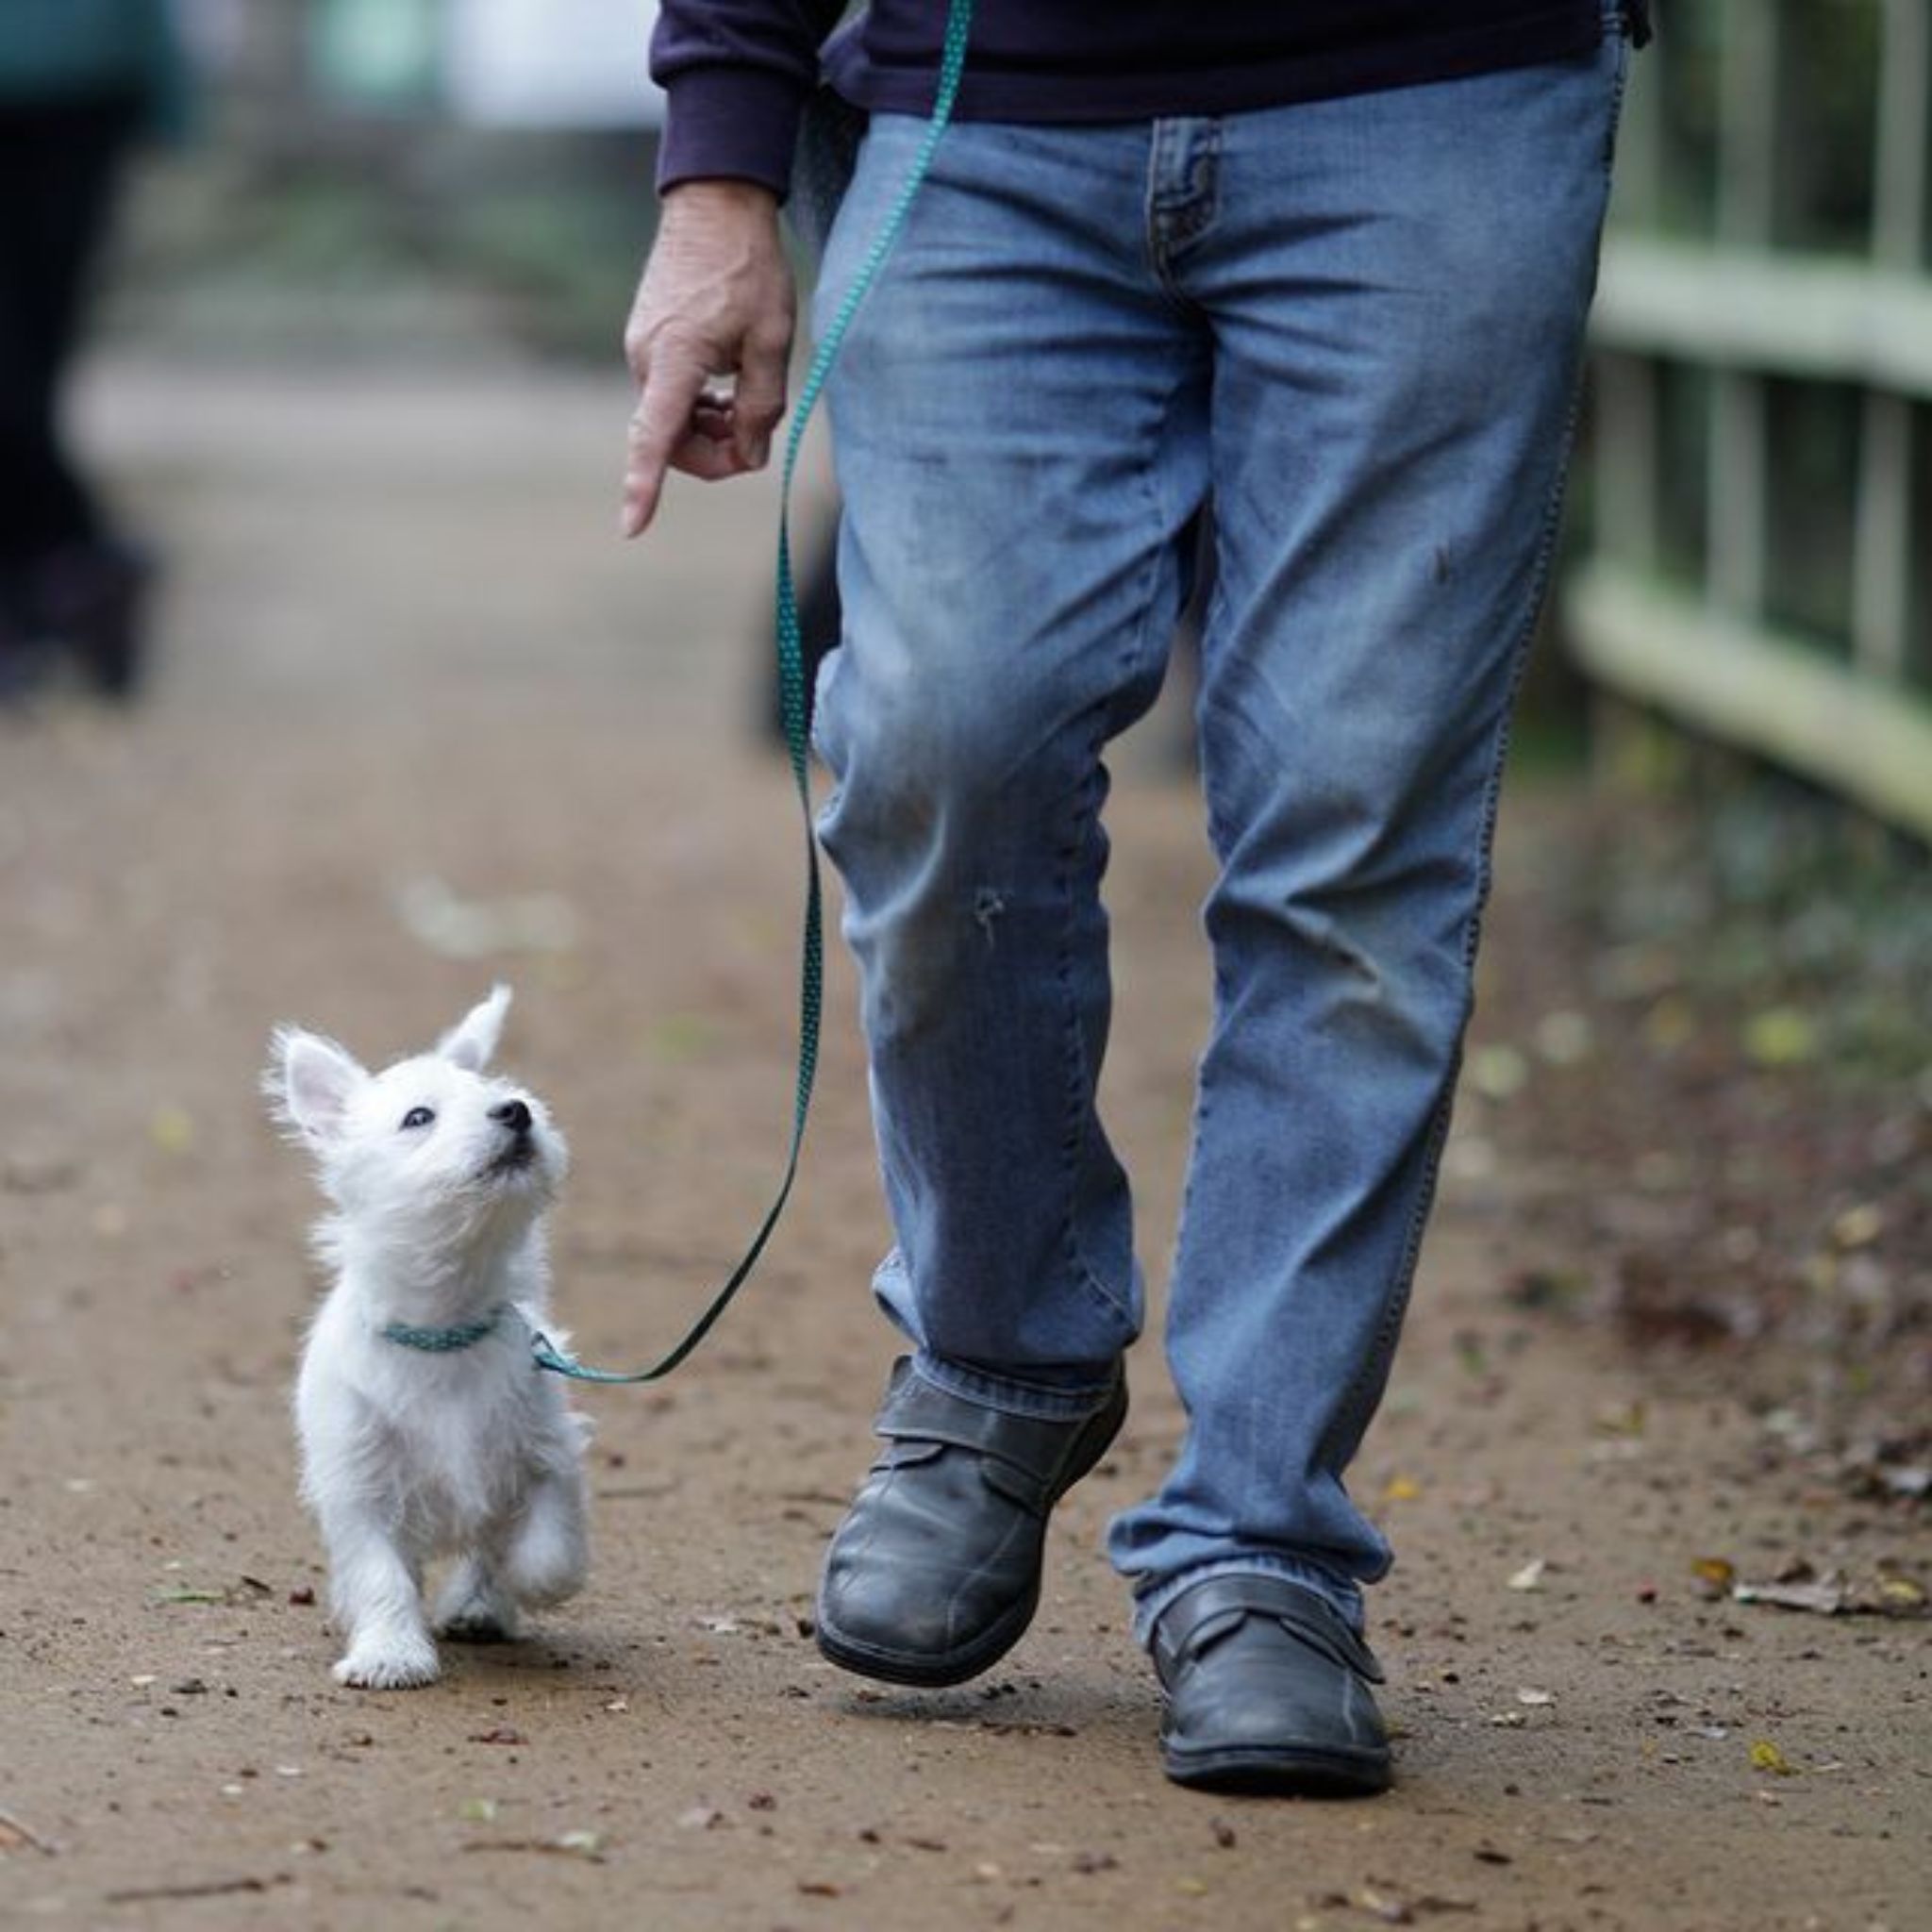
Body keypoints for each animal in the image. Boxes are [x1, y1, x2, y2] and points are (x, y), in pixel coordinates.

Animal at [266, 989, 587, 1684]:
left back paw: (478, 1604)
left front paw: (513, 1581)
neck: (447, 1328)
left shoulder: (547, 1451)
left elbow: (547, 1549)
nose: (516, 1109)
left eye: (494, 1089)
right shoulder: (359, 1487)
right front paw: (390, 1653)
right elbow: (380, 1575)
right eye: (418, 1117)